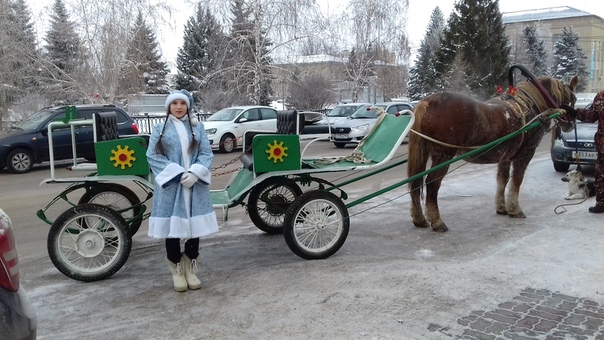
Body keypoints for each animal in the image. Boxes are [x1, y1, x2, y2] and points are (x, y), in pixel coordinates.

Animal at [408, 73, 580, 231]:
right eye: (574, 97)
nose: (570, 125)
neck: (529, 107)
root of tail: (428, 102)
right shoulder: (525, 155)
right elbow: (516, 181)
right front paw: (515, 209)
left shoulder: (506, 158)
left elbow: (502, 180)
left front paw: (502, 207)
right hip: (443, 155)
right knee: (432, 184)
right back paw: (437, 221)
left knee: (416, 184)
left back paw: (419, 219)